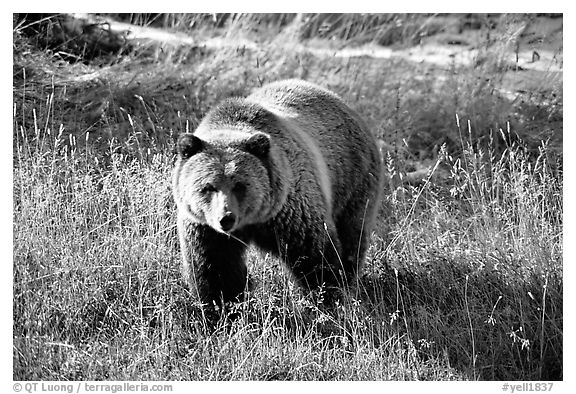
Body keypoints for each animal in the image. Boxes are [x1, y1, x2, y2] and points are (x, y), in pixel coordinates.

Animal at [173, 79, 384, 308]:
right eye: (208, 187)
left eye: (240, 185)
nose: (226, 218)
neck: (253, 221)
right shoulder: (206, 229)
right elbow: (217, 271)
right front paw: (222, 306)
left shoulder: (290, 211)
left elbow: (314, 256)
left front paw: (328, 295)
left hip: (352, 178)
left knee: (352, 233)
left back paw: (349, 276)